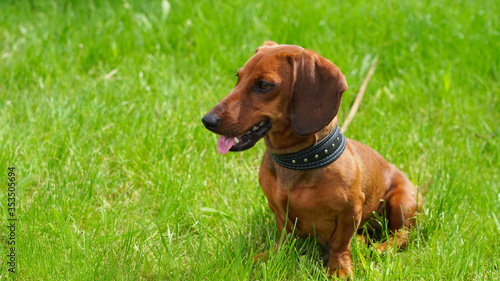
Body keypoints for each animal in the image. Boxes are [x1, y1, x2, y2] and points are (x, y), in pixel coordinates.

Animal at [201, 41, 420, 276]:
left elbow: (340, 244)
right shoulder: (278, 211)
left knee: (403, 234)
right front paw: (270, 257)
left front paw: (339, 270)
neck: (296, 160)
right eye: (238, 77)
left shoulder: (350, 211)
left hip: (402, 201)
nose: (207, 120)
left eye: (264, 85)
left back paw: (382, 248)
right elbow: (284, 238)